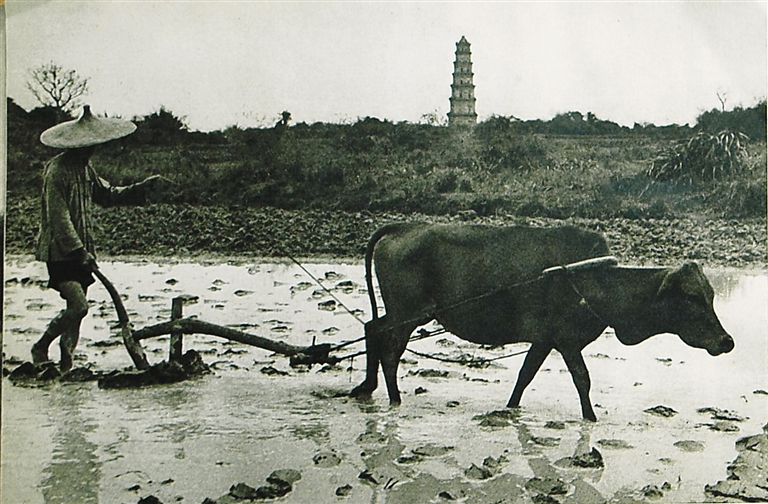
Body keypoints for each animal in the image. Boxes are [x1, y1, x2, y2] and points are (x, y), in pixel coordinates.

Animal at [349, 223, 734, 421]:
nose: (726, 341)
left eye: (711, 295)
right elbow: (582, 380)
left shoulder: (544, 340)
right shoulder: (565, 341)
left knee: (372, 329)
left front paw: (510, 407)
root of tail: (404, 227)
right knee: (390, 350)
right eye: (692, 297)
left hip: (403, 314)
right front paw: (591, 419)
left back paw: (368, 387)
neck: (595, 281)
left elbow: (525, 376)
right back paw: (393, 399)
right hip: (408, 315)